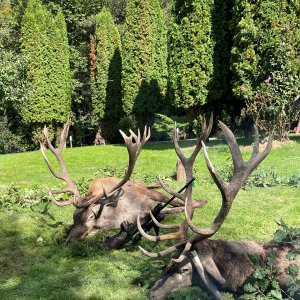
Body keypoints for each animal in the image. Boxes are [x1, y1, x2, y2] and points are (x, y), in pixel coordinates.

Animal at [40, 117, 206, 246]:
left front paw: (199, 202)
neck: (125, 212)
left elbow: (175, 204)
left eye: (90, 216)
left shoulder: (148, 195)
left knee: (151, 185)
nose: (68, 241)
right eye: (73, 216)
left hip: (136, 184)